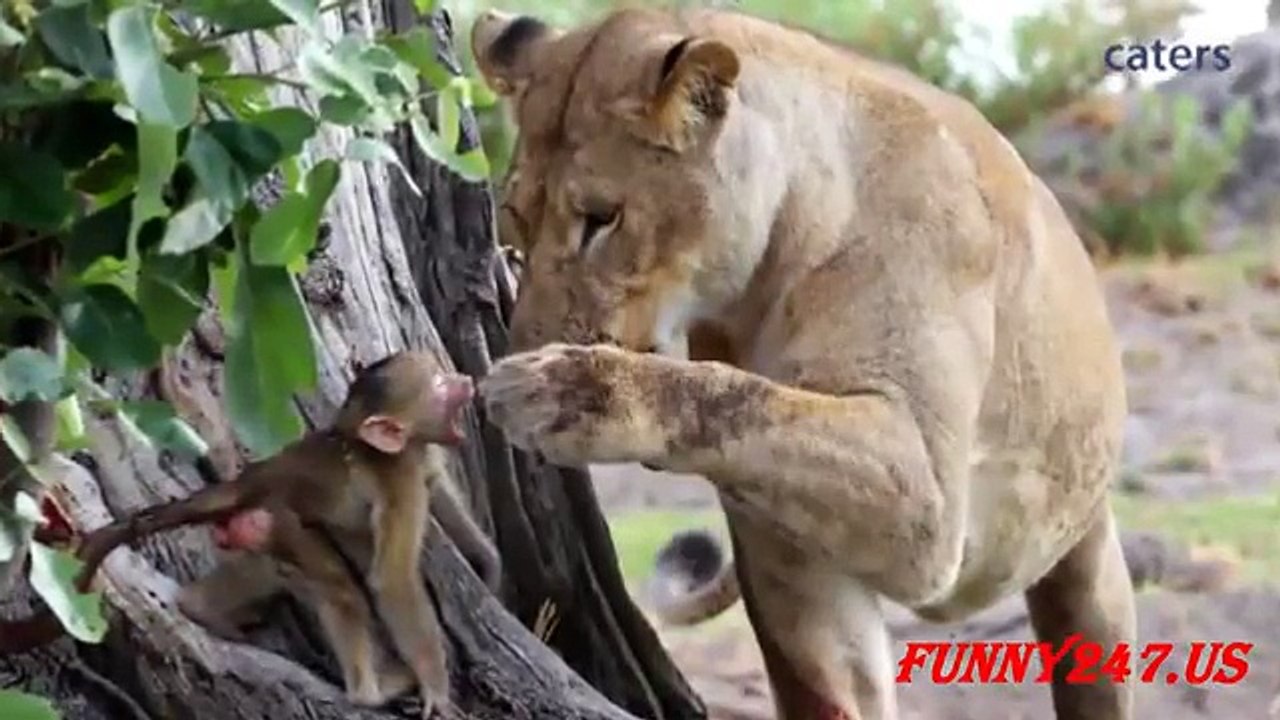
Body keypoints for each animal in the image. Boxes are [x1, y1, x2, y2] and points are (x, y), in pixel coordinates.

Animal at [472, 7, 1134, 720]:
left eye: (602, 219)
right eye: (514, 221)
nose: (520, 346)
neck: (759, 286)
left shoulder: (924, 495)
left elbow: (738, 397)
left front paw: (557, 390)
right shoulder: (792, 563)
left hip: (1087, 557)